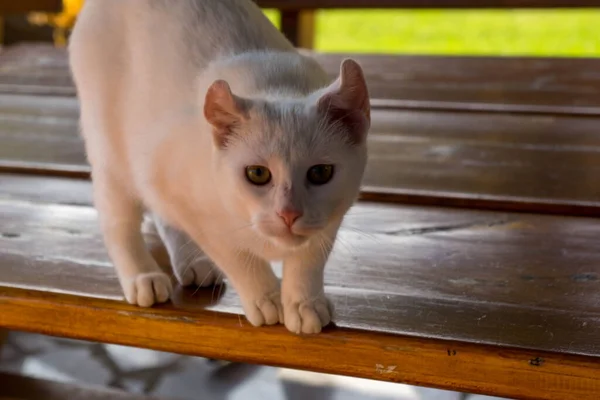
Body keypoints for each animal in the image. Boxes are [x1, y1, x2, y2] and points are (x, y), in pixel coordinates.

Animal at [70, 0, 370, 334]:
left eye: (320, 173)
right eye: (257, 174)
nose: (289, 214)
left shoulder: (332, 216)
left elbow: (310, 257)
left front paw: (304, 302)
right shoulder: (192, 203)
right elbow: (237, 258)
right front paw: (266, 297)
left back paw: (191, 262)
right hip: (112, 154)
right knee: (118, 223)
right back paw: (142, 275)